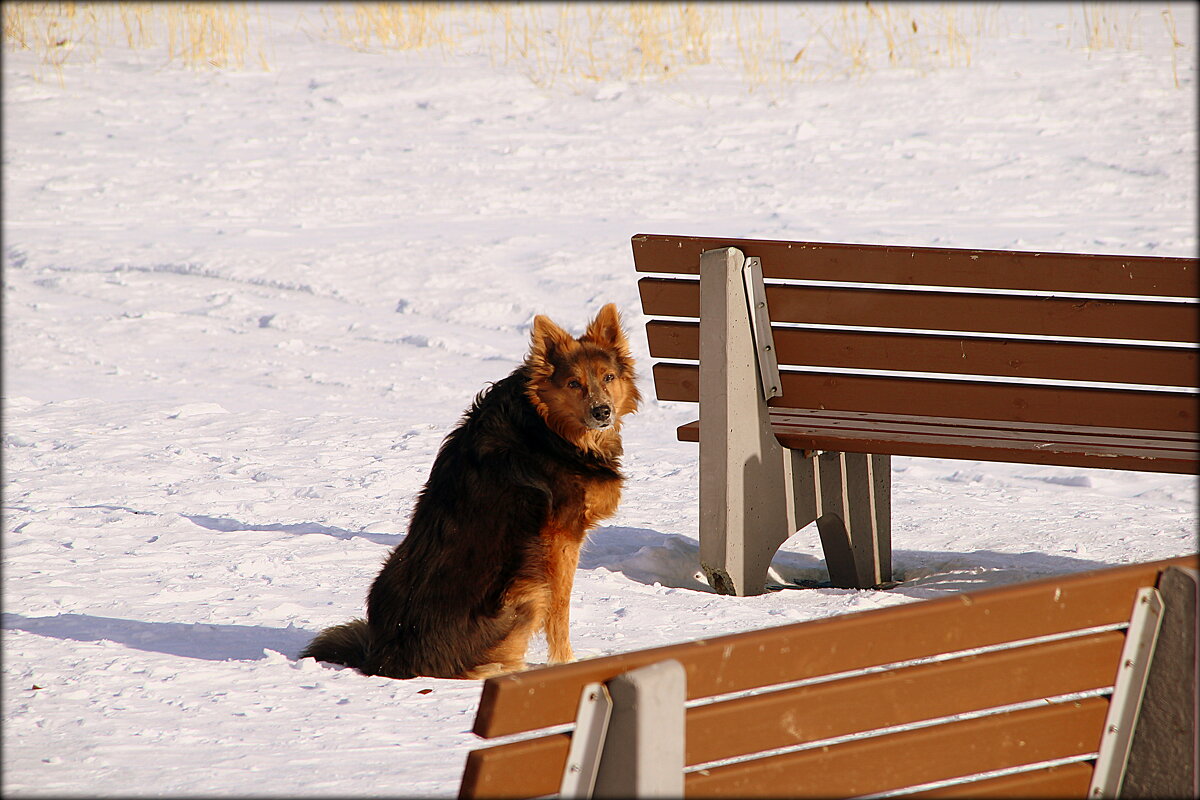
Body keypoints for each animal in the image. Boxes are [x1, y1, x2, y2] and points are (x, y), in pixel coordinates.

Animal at [302, 303, 638, 681]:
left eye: (608, 377)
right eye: (573, 383)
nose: (602, 412)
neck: (545, 425)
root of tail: (387, 659)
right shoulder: (561, 540)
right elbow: (560, 611)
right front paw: (567, 663)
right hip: (526, 587)